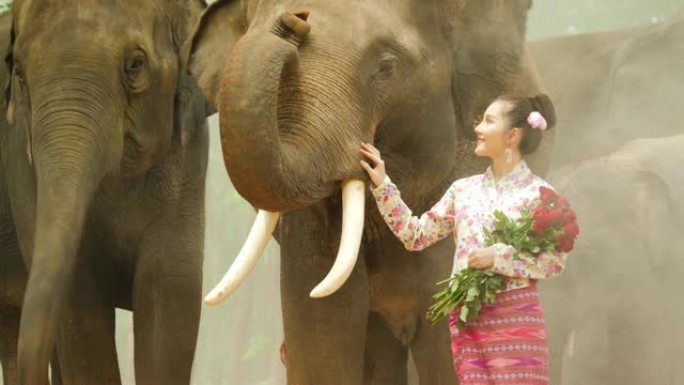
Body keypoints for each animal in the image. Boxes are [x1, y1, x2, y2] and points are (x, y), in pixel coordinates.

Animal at [0, 1, 211, 382]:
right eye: (20, 75)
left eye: (135, 65)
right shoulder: (21, 162)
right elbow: (80, 301)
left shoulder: (188, 156)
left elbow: (170, 289)